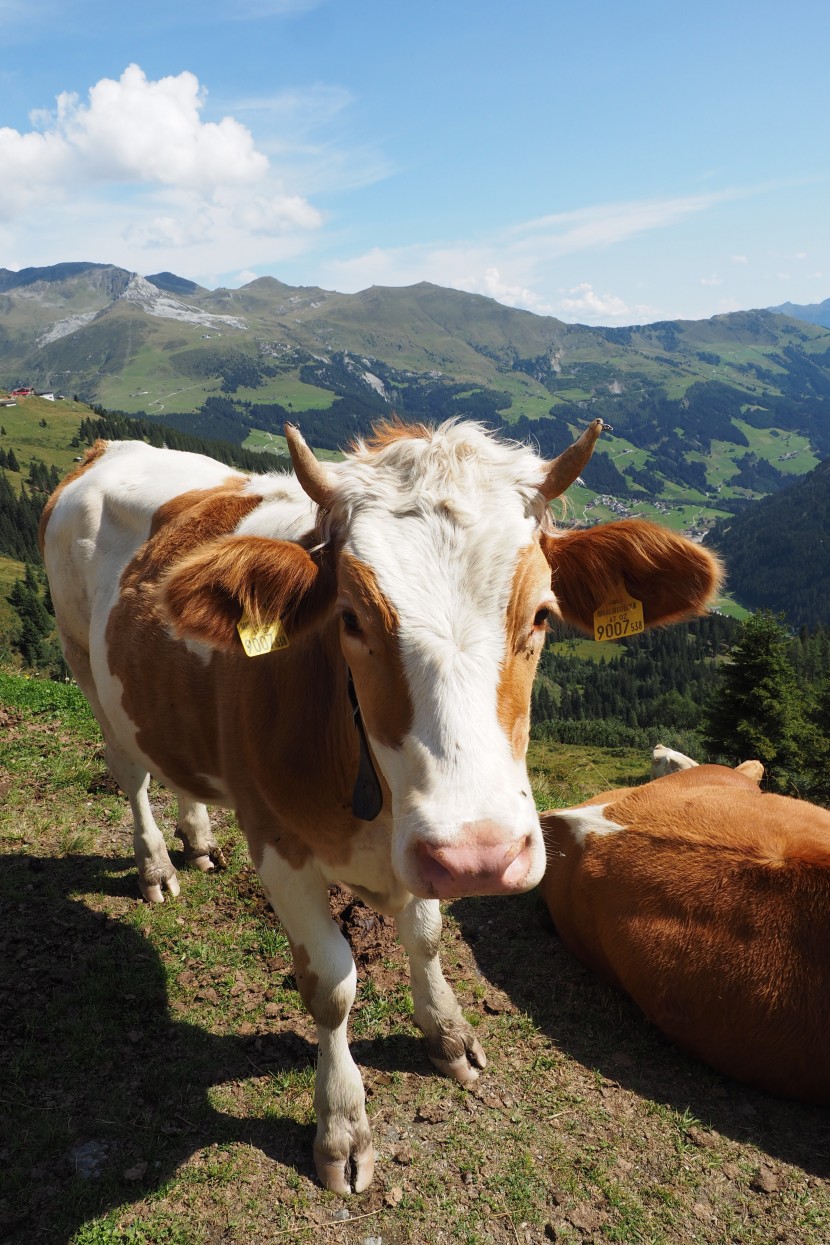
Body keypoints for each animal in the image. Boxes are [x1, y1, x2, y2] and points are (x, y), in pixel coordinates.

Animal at [42, 418, 721, 1185]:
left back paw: (199, 835)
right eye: (351, 618)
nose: (484, 856)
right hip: (85, 664)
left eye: (544, 614)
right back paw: (157, 865)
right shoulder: (279, 843)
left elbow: (425, 936)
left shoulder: (422, 844)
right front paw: (341, 1125)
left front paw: (448, 1032)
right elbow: (332, 984)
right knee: (130, 776)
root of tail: (112, 447)